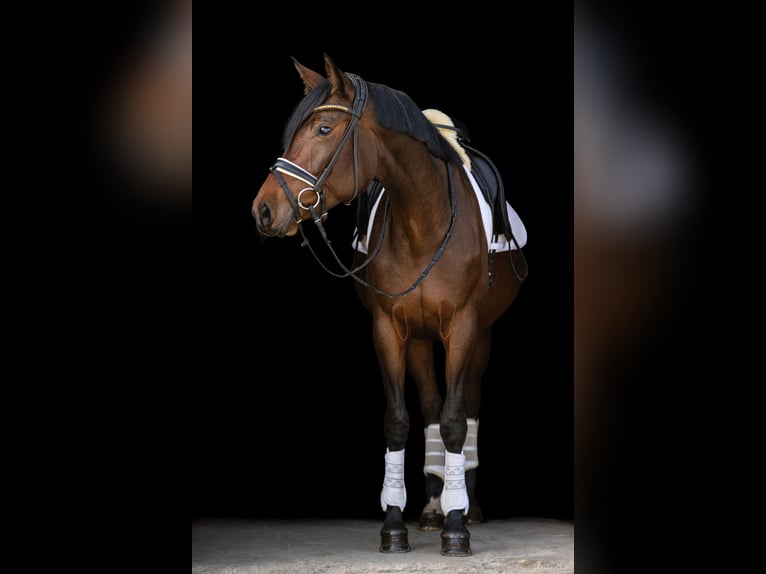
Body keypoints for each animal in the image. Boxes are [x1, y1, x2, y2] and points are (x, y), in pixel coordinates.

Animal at [252, 54, 527, 557]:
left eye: (323, 129)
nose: (263, 209)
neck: (424, 223)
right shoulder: (389, 330)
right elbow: (400, 421)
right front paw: (396, 523)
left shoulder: (463, 327)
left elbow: (457, 421)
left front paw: (457, 529)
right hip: (419, 338)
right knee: (432, 408)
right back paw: (434, 506)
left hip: (481, 336)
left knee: (468, 406)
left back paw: (467, 505)